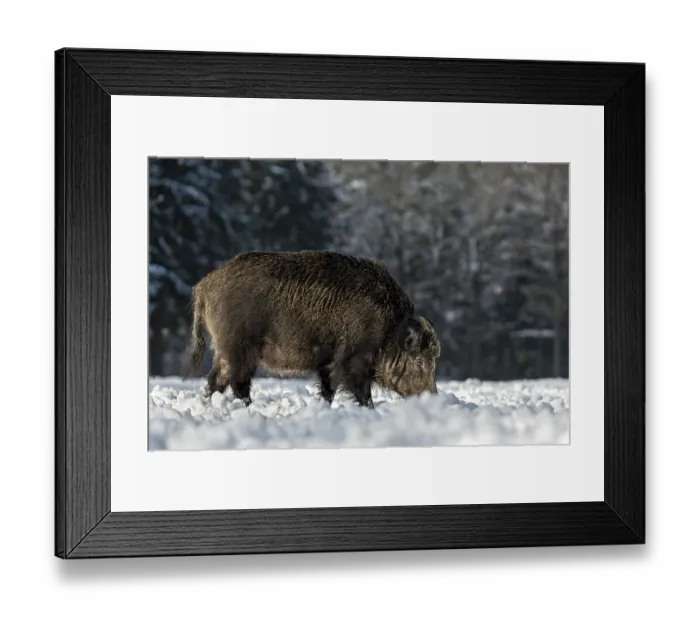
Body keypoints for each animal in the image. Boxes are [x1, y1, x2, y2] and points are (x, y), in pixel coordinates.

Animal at [183, 250, 441, 408]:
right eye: (420, 361)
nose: (434, 397)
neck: (388, 330)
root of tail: (204, 286)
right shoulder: (354, 357)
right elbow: (359, 390)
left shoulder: (329, 361)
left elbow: (329, 389)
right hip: (240, 345)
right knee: (237, 382)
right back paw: (248, 408)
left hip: (225, 349)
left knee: (215, 380)